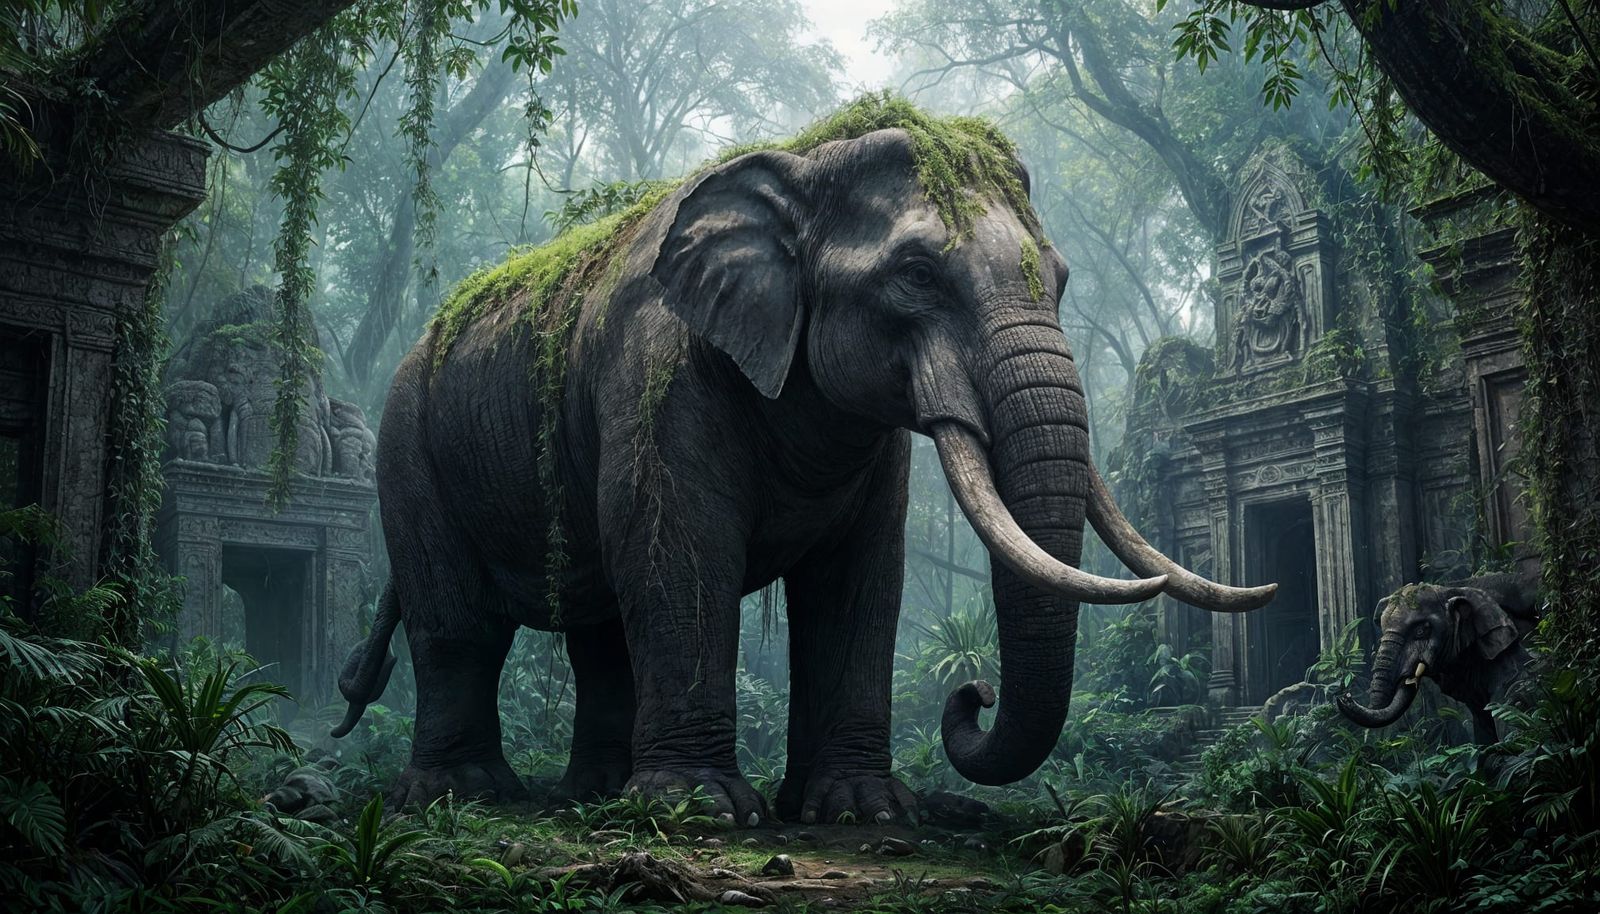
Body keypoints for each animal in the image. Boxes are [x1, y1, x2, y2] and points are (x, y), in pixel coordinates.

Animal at [331, 110, 1275, 825]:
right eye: (917, 273)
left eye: (1063, 278)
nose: (972, 693)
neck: (802, 160)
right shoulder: (660, 374)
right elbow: (681, 558)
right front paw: (702, 811)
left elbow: (860, 581)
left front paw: (862, 811)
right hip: (405, 449)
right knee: (458, 625)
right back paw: (464, 797)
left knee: (599, 633)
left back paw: (589, 795)